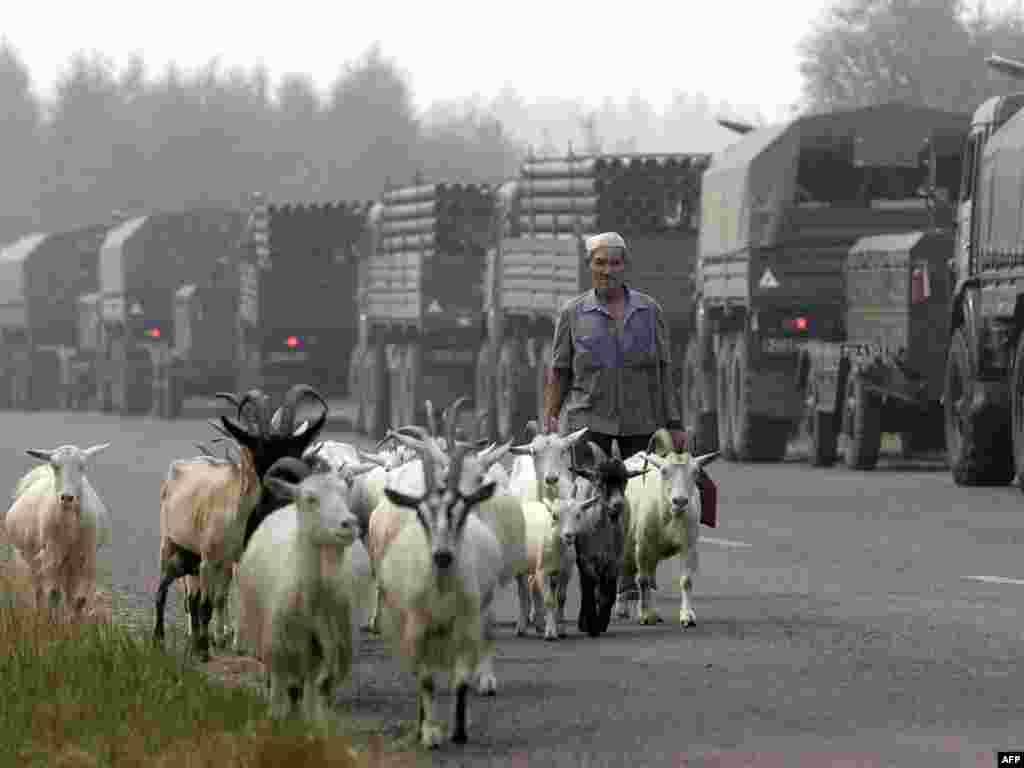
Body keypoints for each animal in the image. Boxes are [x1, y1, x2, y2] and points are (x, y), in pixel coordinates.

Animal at [235, 468, 368, 729]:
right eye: (310, 499)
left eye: (345, 492)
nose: (350, 524)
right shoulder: (276, 648)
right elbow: (278, 697)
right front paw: (276, 719)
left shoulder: (322, 653)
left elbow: (313, 699)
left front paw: (312, 724)